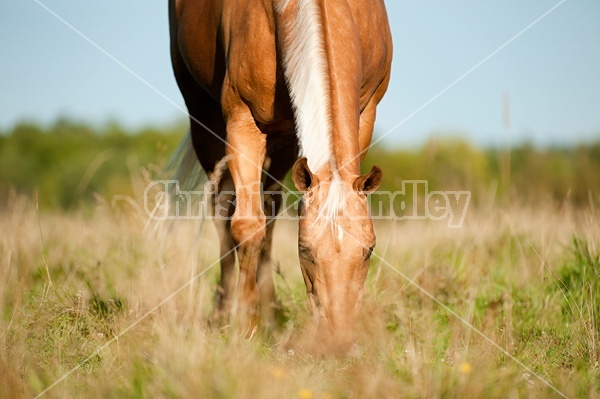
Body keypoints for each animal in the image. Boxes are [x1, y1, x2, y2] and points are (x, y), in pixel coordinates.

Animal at [169, 0, 394, 352]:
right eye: (304, 251)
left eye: (369, 249)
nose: (338, 342)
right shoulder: (242, 121)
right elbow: (246, 227)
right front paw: (244, 328)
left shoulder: (366, 112)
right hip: (205, 122)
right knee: (223, 212)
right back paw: (223, 313)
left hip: (286, 146)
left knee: (270, 211)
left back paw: (270, 316)